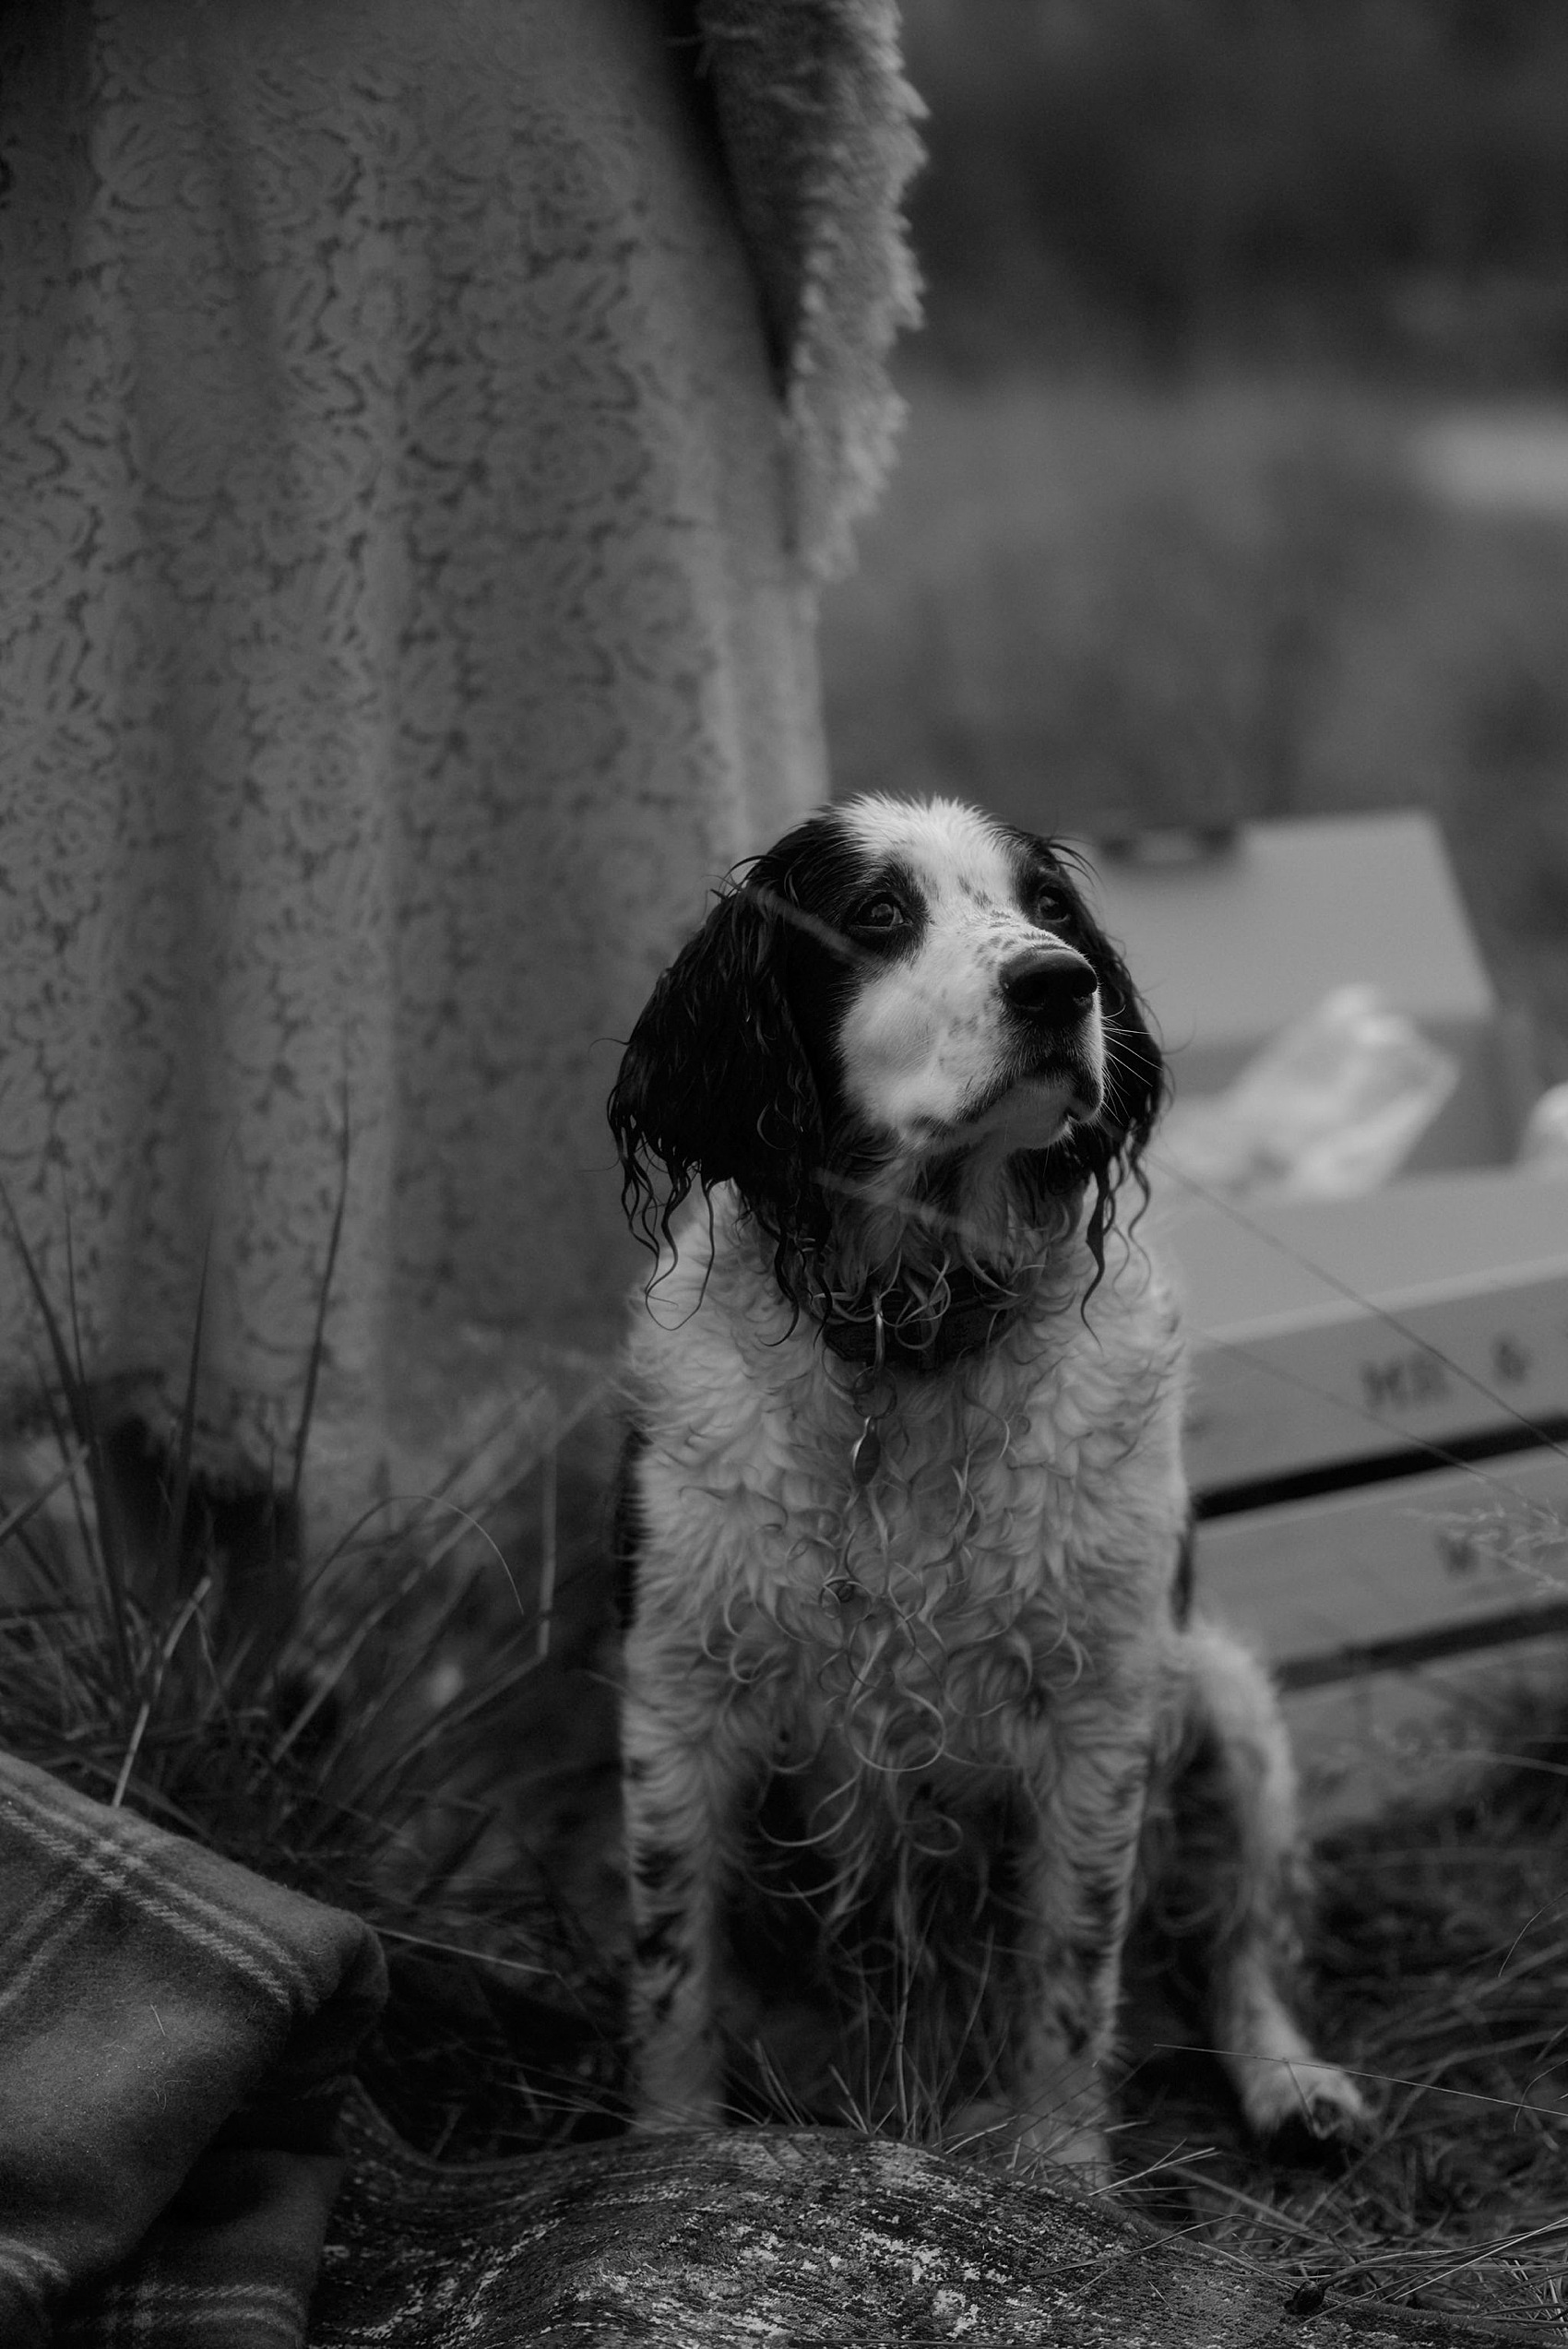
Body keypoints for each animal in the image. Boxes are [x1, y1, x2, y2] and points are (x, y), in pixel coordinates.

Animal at [606, 798, 1363, 2170]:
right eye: (876, 914)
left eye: (1050, 910)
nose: (1058, 984)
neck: (908, 1342)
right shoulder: (676, 1700)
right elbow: (674, 1981)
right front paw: (669, 2160)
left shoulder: (1099, 1714)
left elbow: (1069, 1981)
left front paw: (1064, 2177)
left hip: (1224, 1706)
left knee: (1234, 1953)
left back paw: (1291, 2082)